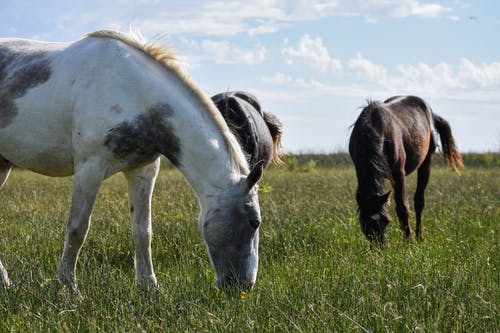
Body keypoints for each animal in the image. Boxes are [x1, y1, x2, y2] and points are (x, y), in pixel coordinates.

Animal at [0, 29, 266, 292]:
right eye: (255, 222)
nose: (244, 286)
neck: (136, 93)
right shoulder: (89, 168)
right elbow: (77, 229)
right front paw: (67, 286)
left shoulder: (143, 170)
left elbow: (142, 231)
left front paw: (148, 286)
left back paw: (5, 282)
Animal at [350, 94, 462, 243]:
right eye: (365, 223)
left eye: (386, 221)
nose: (380, 246)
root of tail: (431, 113)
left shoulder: (398, 174)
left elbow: (402, 207)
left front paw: (410, 241)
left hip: (426, 162)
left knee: (419, 201)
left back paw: (419, 236)